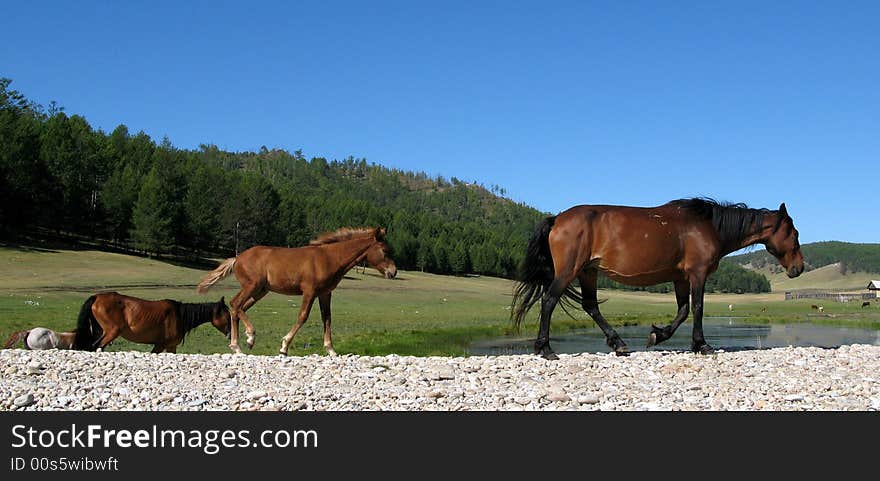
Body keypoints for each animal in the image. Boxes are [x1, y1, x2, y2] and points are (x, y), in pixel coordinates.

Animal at [198, 227, 398, 354]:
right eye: (385, 250)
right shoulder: (309, 291)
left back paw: (240, 344)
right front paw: (284, 346)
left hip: (260, 291)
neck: (330, 258)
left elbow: (327, 318)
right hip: (251, 286)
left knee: (239, 308)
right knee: (235, 304)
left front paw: (331, 350)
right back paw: (247, 338)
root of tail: (237, 258)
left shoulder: (325, 293)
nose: (393, 272)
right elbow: (303, 316)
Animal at [508, 197, 804, 358]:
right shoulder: (697, 274)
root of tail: (557, 219)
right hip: (569, 272)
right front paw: (702, 345)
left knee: (590, 306)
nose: (798, 269)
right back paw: (546, 349)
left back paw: (619, 344)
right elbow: (697, 308)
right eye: (795, 233)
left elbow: (683, 311)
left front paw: (657, 335)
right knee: (549, 302)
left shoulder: (681, 278)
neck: (708, 226)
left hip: (588, 272)